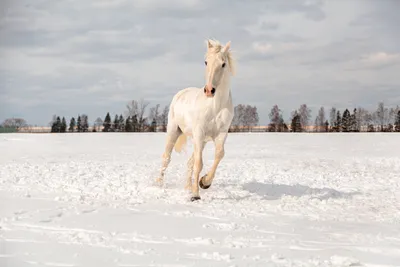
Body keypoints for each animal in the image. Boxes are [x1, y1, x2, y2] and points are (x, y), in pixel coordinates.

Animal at [156, 38, 236, 202]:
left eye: (223, 64)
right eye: (206, 62)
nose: (209, 90)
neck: (215, 105)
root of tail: (180, 93)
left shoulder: (221, 134)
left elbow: (219, 155)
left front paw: (204, 183)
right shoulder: (199, 132)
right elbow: (199, 163)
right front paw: (195, 195)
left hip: (201, 141)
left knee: (189, 162)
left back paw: (187, 187)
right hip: (173, 131)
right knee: (166, 157)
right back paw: (159, 184)